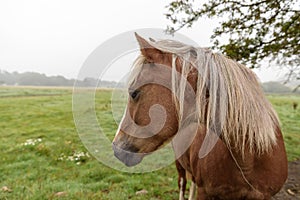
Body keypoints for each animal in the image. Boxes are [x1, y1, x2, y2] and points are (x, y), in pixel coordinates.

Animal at [113, 33, 288, 199]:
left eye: (134, 93)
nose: (116, 148)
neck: (249, 160)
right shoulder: (205, 192)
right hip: (179, 164)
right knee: (183, 184)